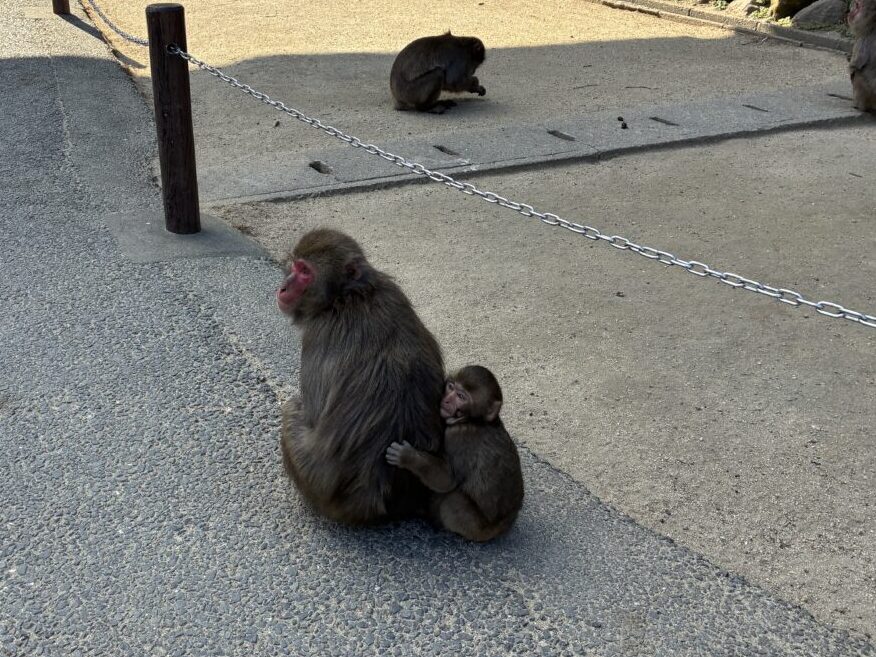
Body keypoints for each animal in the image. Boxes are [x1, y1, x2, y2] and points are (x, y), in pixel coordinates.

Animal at [277, 229, 445, 525]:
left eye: (305, 271)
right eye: (295, 265)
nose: (284, 287)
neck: (348, 296)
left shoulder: (318, 334)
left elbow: (311, 412)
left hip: (313, 481)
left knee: (291, 410)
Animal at [385, 366, 524, 542]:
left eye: (461, 396)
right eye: (451, 387)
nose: (447, 400)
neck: (474, 421)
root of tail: (504, 525)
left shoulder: (457, 437)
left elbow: (447, 480)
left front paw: (407, 457)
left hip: (477, 529)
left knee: (452, 501)